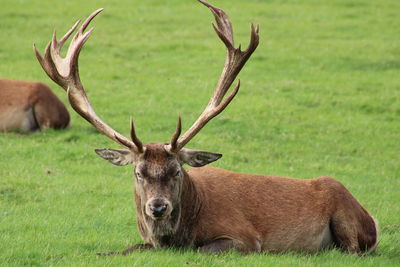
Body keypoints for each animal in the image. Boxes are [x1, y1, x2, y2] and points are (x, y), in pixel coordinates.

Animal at [33, 0, 378, 255]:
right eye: (138, 172)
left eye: (176, 171)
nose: (157, 207)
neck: (178, 233)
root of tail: (371, 219)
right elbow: (123, 249)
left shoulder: (245, 238)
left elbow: (202, 249)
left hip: (348, 218)